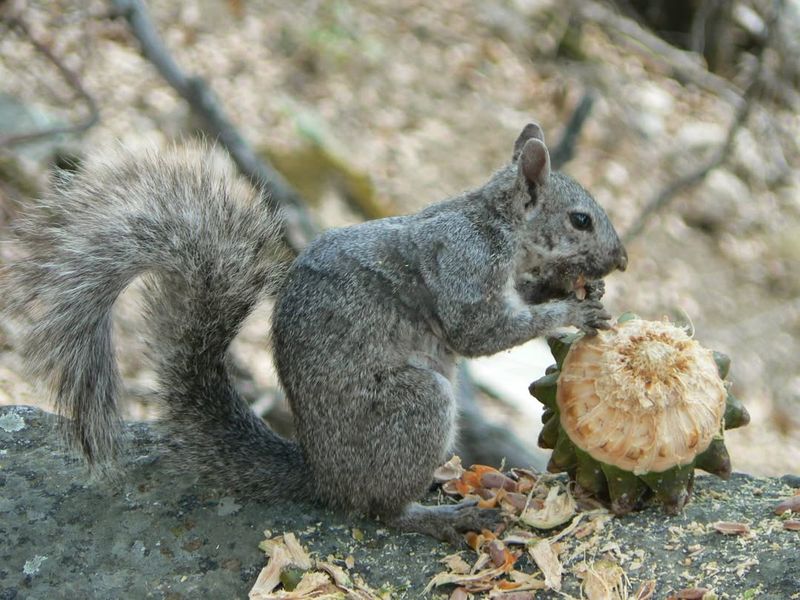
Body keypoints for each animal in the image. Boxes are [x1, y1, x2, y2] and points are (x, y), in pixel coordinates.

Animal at [1, 122, 624, 544]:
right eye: (581, 220)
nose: (621, 259)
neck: (498, 225)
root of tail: (323, 476)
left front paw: (576, 292)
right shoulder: (465, 265)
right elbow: (479, 331)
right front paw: (572, 312)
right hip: (413, 405)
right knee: (378, 510)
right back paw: (442, 516)